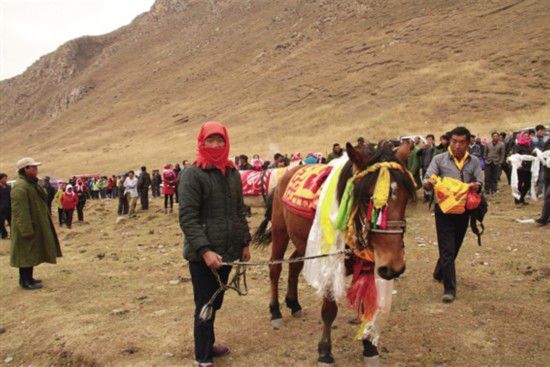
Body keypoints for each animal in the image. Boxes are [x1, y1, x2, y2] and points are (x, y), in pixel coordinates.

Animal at [256, 141, 418, 366]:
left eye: (404, 199)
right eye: (368, 199)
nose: (393, 267)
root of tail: (285, 175)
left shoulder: (369, 264)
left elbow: (365, 305)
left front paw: (369, 348)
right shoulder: (330, 264)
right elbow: (329, 311)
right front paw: (325, 351)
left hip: (304, 243)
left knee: (294, 264)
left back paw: (293, 303)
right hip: (281, 232)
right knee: (275, 268)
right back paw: (275, 311)